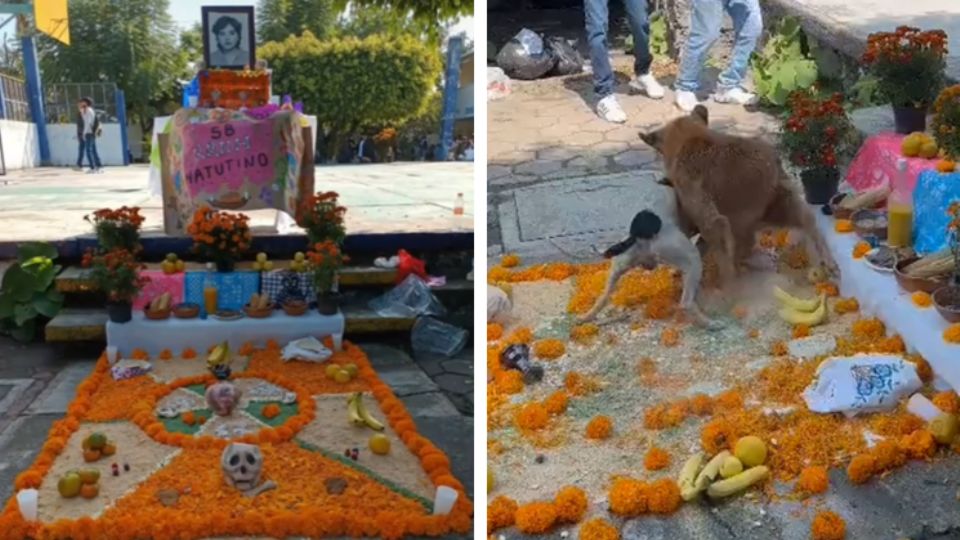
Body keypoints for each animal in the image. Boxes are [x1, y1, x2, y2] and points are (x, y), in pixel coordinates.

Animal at [576, 210, 720, 330]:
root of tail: (637, 236)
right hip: (686, 255)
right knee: (686, 301)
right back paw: (710, 323)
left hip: (621, 263)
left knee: (604, 296)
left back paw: (587, 316)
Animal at [640, 103, 836, 284]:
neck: (691, 138)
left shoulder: (704, 209)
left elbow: (718, 245)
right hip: (781, 200)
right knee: (807, 221)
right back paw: (827, 261)